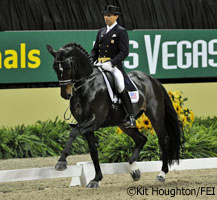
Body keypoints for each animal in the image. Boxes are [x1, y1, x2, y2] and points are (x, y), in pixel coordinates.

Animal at [47, 42, 181, 188]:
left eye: (67, 67)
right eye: (54, 68)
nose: (65, 94)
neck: (88, 85)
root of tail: (152, 79)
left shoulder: (95, 121)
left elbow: (74, 132)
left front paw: (61, 162)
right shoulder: (86, 125)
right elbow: (93, 152)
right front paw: (96, 179)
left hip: (155, 115)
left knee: (163, 139)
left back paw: (161, 174)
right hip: (123, 124)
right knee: (141, 139)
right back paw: (134, 171)